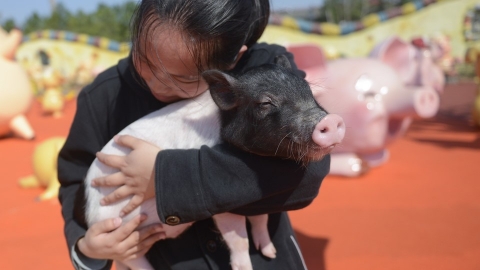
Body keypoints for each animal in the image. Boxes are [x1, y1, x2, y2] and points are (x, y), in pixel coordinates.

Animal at [83, 55, 344, 270]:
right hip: (120, 232)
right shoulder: (221, 207)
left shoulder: (255, 202)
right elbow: (238, 240)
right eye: (265, 103)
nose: (330, 120)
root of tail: (88, 213)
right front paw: (246, 266)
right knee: (132, 260)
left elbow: (260, 218)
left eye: (308, 90)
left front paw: (270, 253)